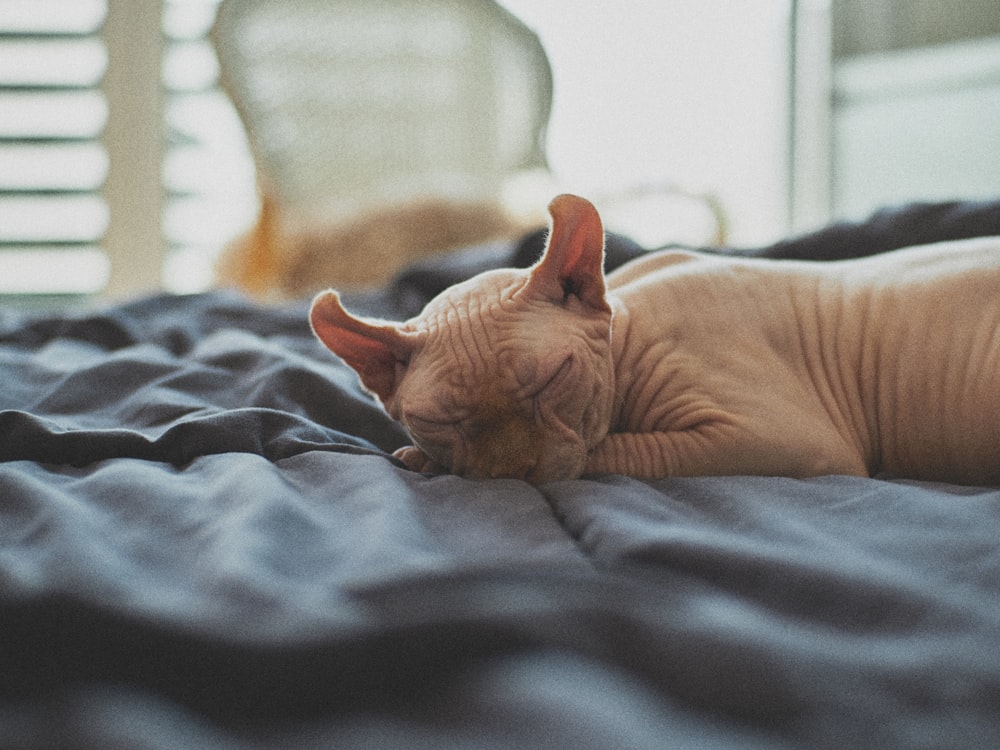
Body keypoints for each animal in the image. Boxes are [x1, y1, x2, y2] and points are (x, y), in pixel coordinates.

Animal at [308, 195, 996, 488]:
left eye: (556, 378)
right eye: (438, 420)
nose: (513, 473)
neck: (628, 325)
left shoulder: (777, 438)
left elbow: (608, 453)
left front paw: (424, 464)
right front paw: (429, 459)